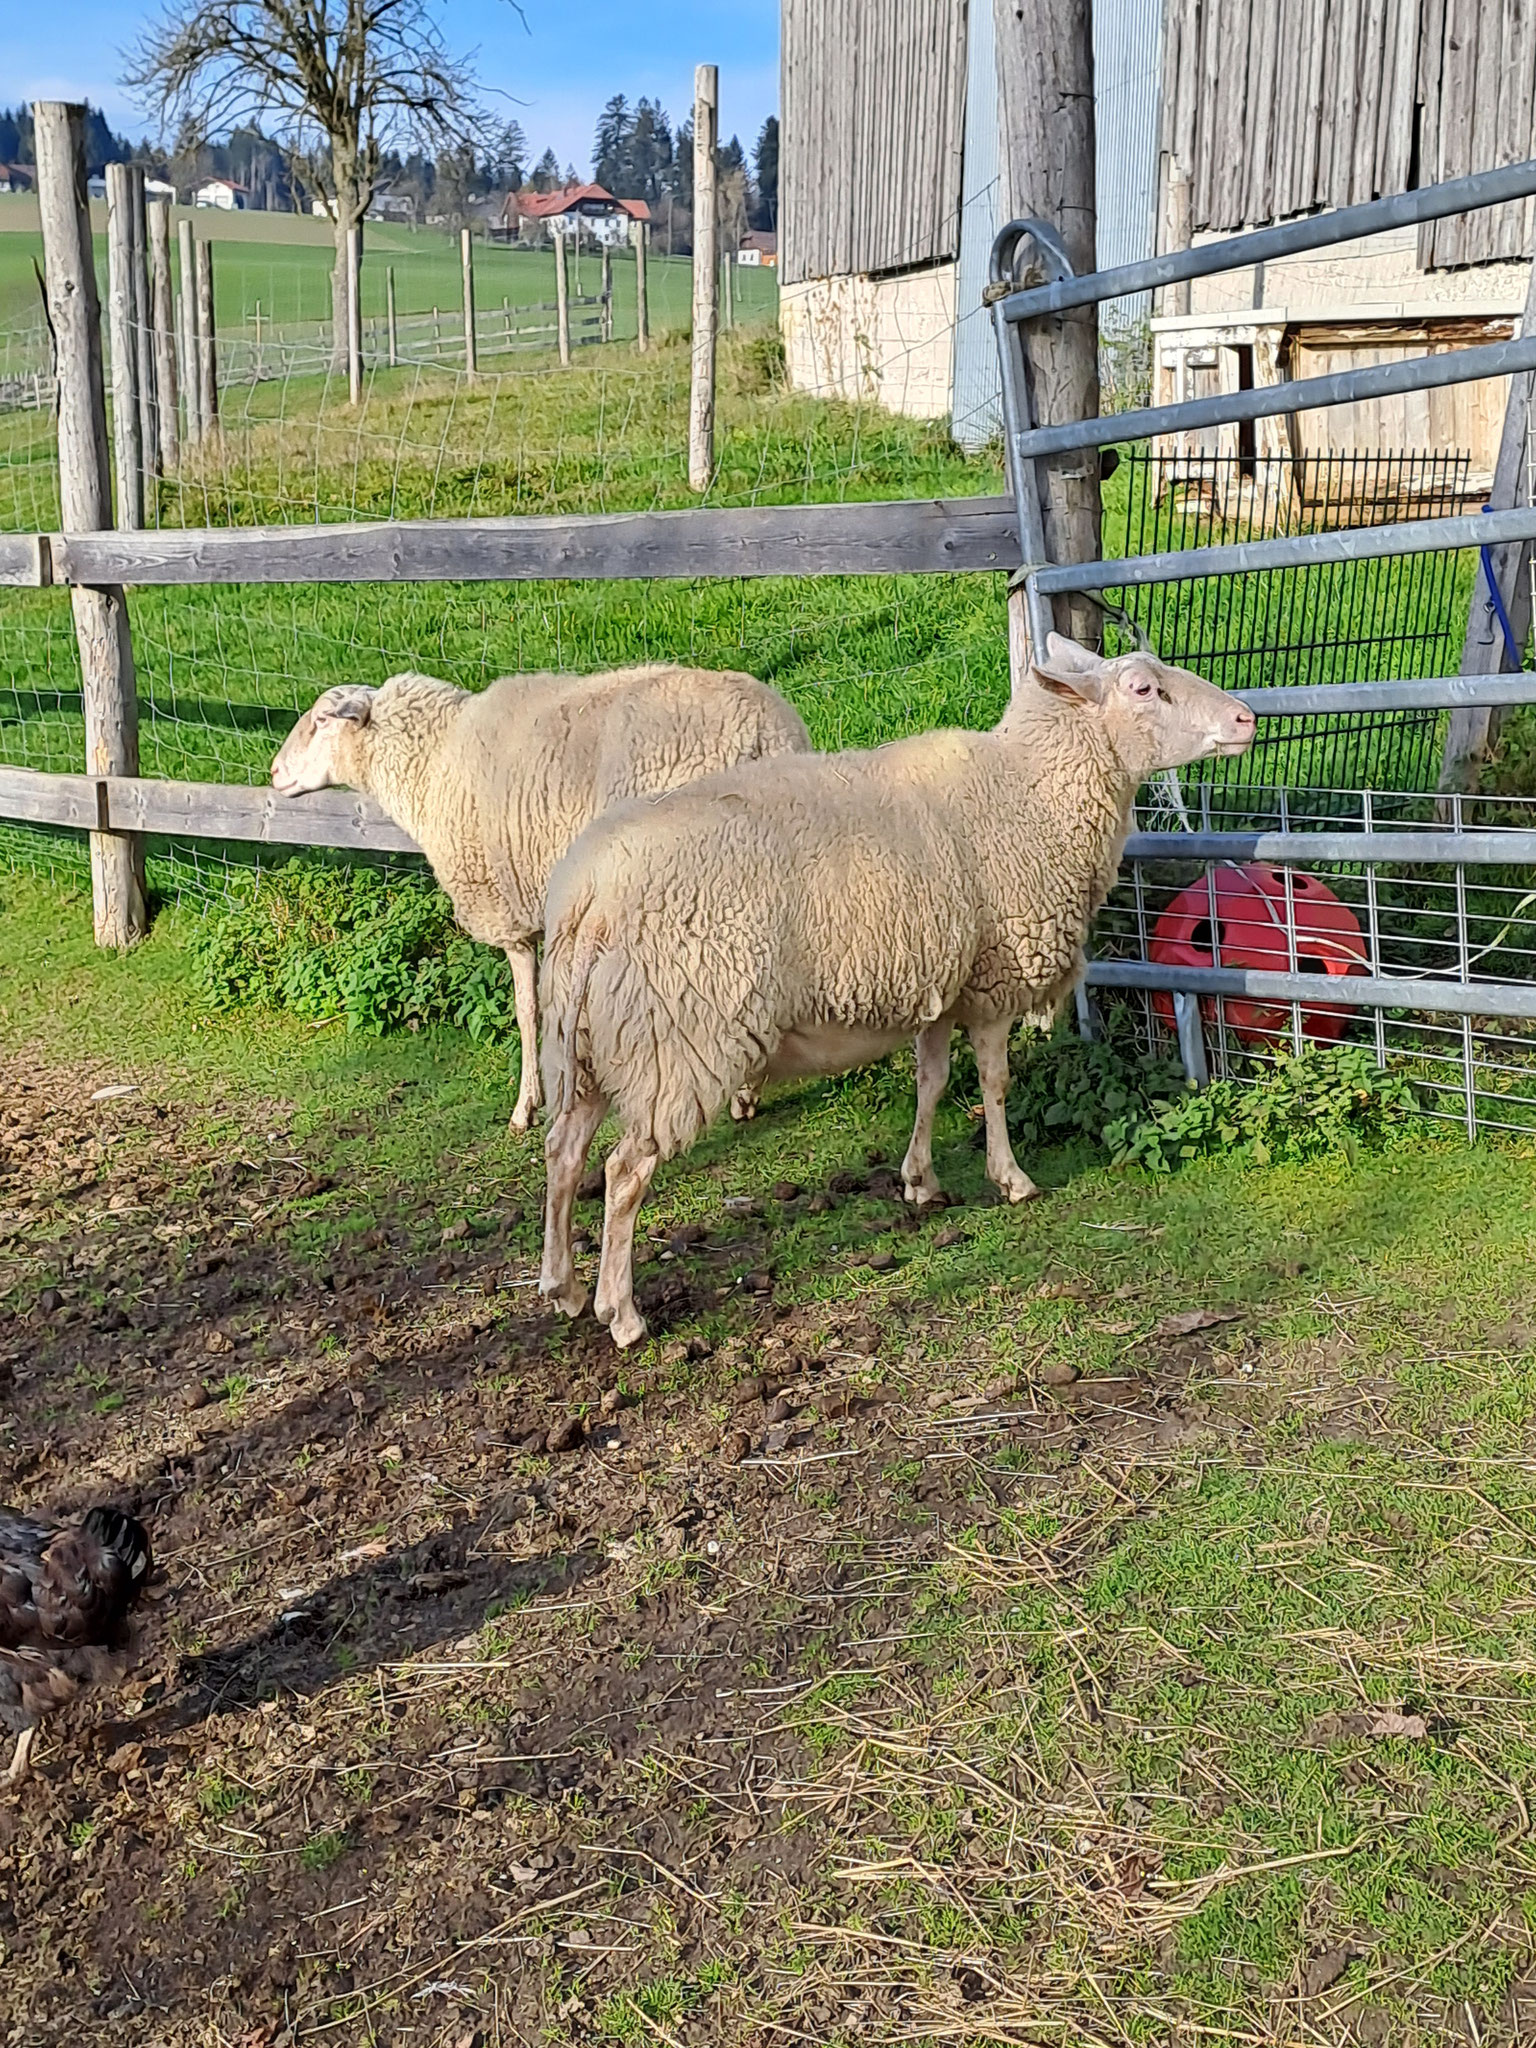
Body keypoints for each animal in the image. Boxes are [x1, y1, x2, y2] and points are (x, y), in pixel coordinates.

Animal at [270, 667, 811, 1122]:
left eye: (322, 720)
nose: (273, 773)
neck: (431, 763)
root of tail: (762, 733)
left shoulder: (508, 912)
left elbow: (528, 1011)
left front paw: (528, 1105)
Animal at [540, 630, 1261, 1351]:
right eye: (1144, 688)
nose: (1247, 718)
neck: (1031, 794)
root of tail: (584, 895)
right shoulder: (995, 984)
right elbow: (995, 1084)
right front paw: (1012, 1178)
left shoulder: (946, 980)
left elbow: (932, 1081)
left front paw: (920, 1181)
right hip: (678, 1038)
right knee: (623, 1172)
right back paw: (620, 1313)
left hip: (596, 1040)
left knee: (563, 1152)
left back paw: (563, 1287)